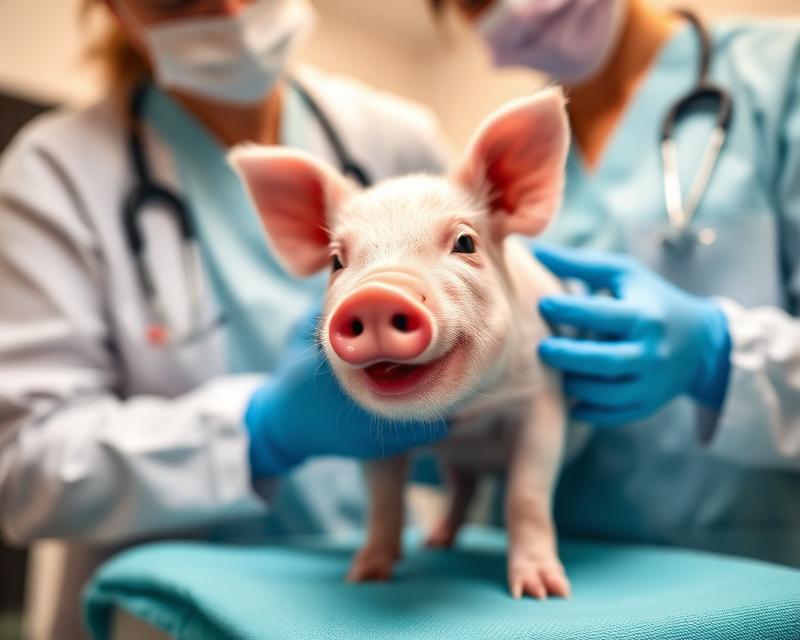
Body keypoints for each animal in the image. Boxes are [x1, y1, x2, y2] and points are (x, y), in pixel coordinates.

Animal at [230, 88, 571, 599]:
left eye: (466, 243)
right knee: (462, 489)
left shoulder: (543, 399)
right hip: (459, 470)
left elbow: (526, 494)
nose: (376, 295)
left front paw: (541, 591)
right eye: (336, 261)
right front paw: (365, 576)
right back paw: (436, 543)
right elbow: (385, 501)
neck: (467, 418)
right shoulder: (373, 438)